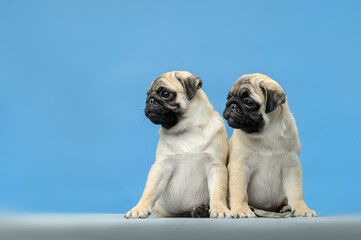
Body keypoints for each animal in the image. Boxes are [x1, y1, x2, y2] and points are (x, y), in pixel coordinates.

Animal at [124, 70, 231, 218]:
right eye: (147, 94)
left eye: (165, 93)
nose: (150, 100)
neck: (187, 130)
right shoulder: (161, 167)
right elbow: (149, 190)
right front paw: (139, 208)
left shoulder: (216, 166)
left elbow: (218, 192)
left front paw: (220, 208)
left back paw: (201, 211)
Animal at [224, 73, 316, 218]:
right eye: (228, 98)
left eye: (248, 102)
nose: (231, 105)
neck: (266, 133)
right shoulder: (239, 166)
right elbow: (239, 192)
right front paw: (241, 209)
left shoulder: (292, 167)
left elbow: (296, 193)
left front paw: (302, 209)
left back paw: (285, 207)